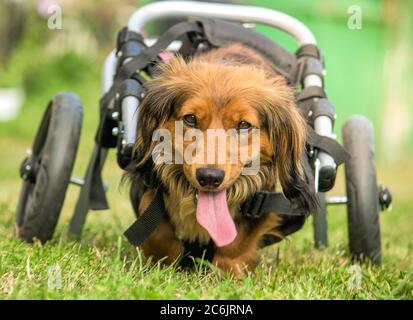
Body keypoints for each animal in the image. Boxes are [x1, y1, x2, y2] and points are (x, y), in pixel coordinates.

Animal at [129, 43, 316, 280]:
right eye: (190, 118)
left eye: (244, 124)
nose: (209, 177)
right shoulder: (151, 184)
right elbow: (154, 226)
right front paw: (165, 260)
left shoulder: (261, 200)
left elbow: (235, 242)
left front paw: (226, 273)